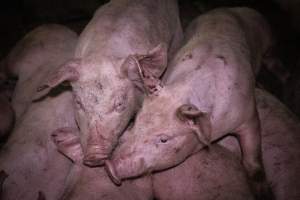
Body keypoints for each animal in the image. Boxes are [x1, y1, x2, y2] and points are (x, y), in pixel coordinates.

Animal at [104, 7, 274, 199]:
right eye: (136, 122)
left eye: (164, 139)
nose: (109, 167)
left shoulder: (248, 113)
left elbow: (253, 158)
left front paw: (263, 193)